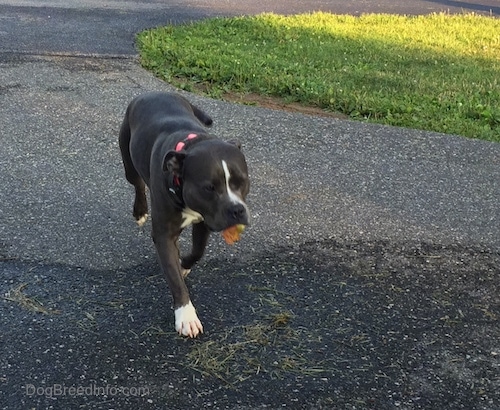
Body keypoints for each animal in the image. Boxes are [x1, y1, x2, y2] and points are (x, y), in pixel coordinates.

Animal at [117, 92, 250, 336]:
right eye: (209, 187)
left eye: (242, 182)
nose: (237, 210)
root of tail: (152, 92)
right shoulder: (164, 235)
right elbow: (174, 278)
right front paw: (186, 315)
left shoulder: (205, 220)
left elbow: (198, 251)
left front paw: (184, 265)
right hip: (128, 159)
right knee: (137, 182)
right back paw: (140, 211)